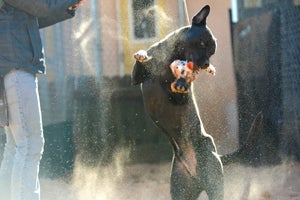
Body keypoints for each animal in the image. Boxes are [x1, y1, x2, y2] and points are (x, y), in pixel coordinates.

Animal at [132, 4, 260, 200]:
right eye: (202, 43)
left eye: (212, 52)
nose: (206, 64)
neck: (170, 56)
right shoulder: (137, 78)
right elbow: (142, 63)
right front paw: (142, 54)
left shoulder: (180, 98)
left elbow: (176, 86)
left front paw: (181, 81)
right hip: (181, 190)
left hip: (214, 181)